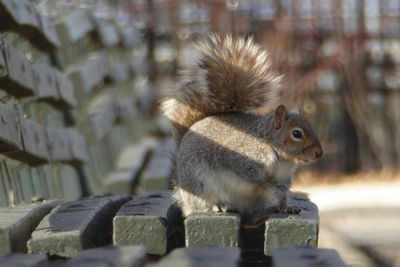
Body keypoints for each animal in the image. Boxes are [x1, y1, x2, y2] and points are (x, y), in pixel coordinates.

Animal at [160, 34, 322, 225]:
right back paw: (218, 206)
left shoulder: (283, 179)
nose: (319, 153)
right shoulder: (240, 158)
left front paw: (287, 207)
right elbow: (251, 175)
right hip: (199, 183)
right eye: (297, 133)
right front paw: (265, 182)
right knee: (201, 205)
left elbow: (280, 194)